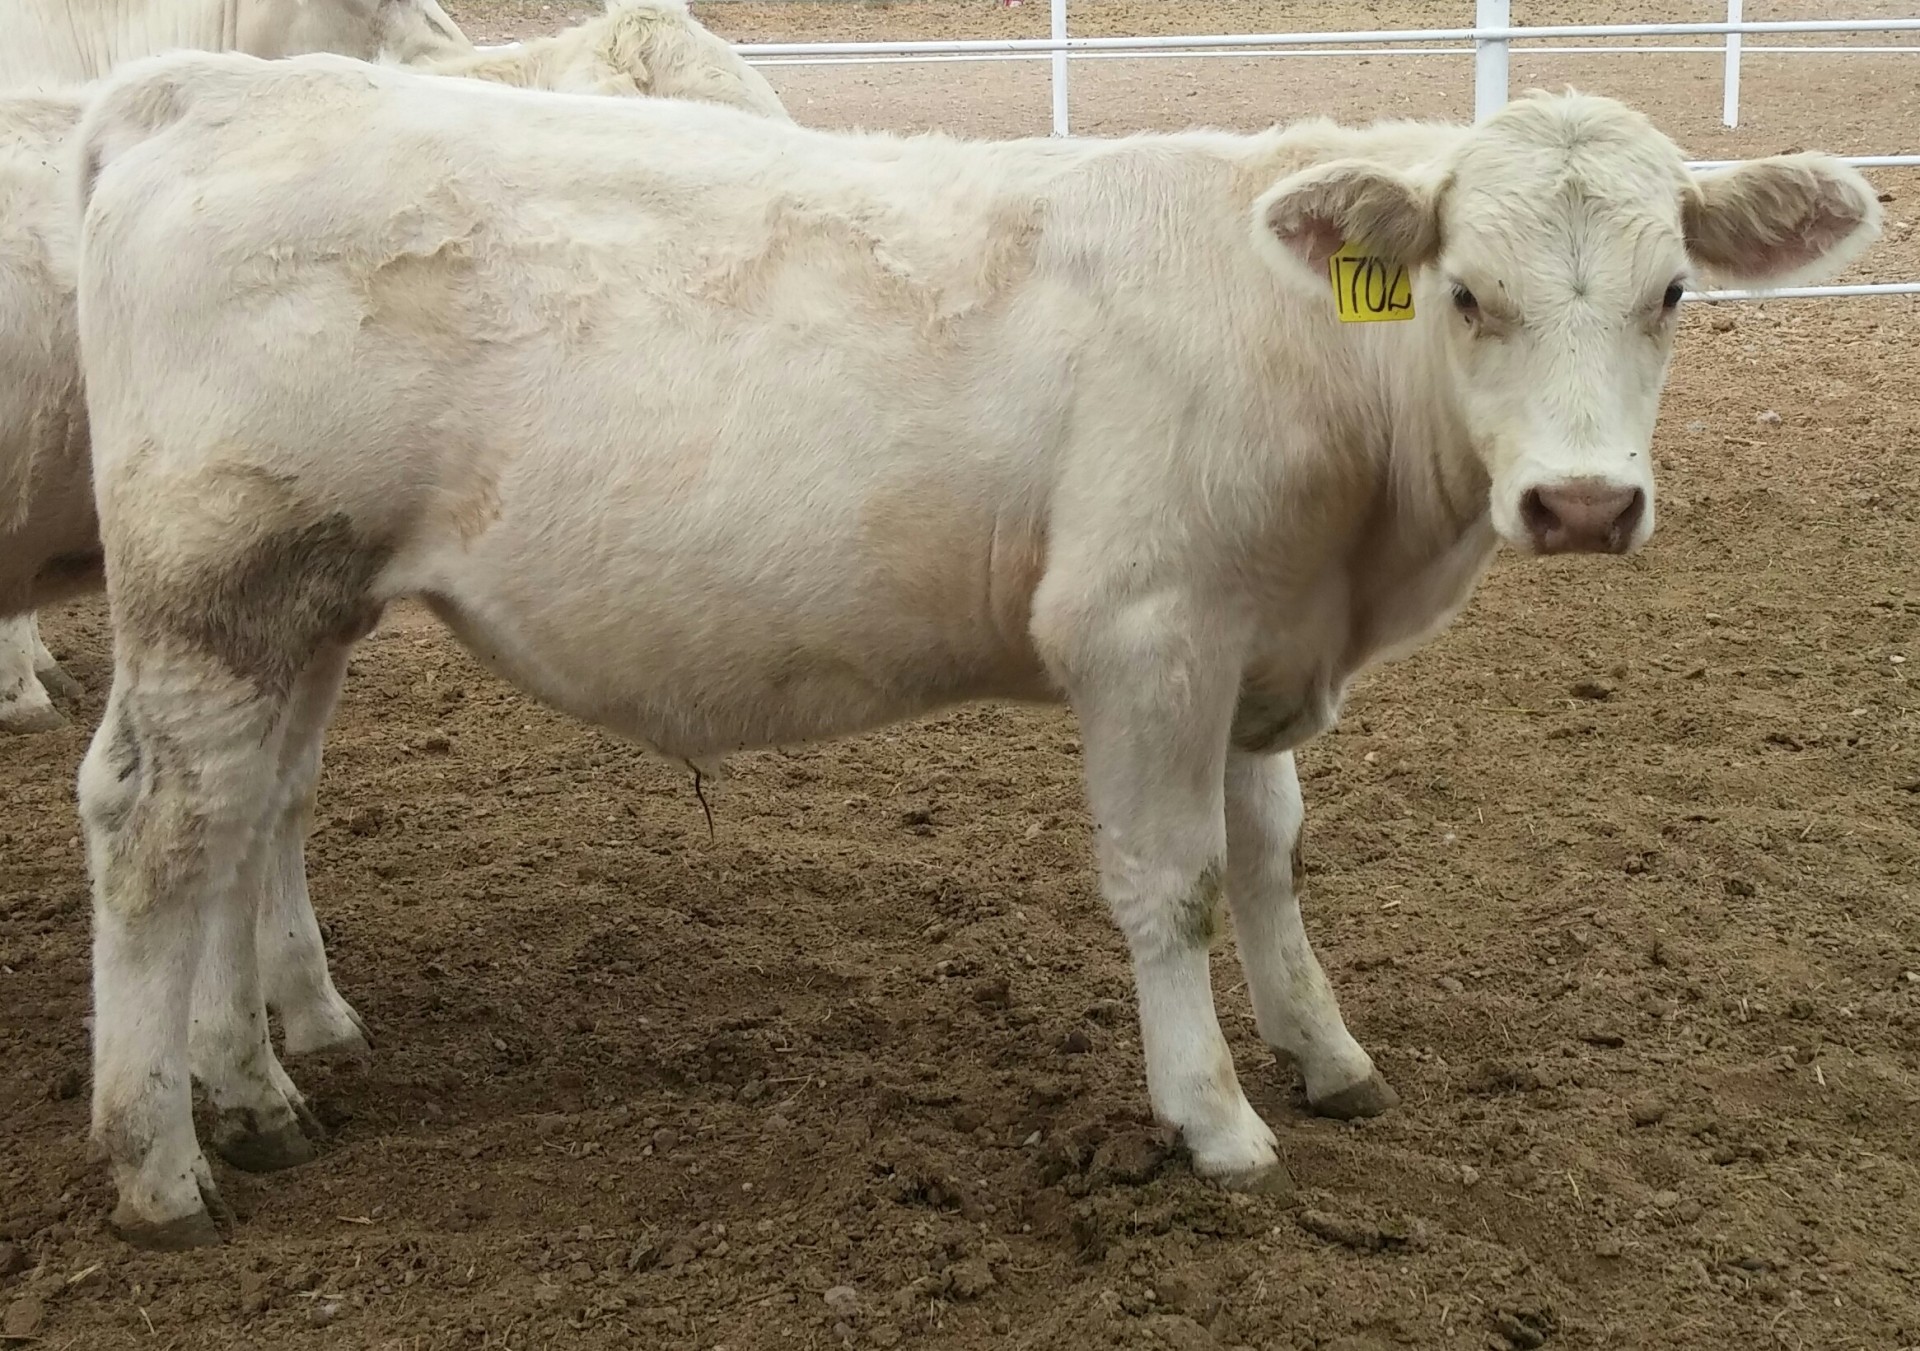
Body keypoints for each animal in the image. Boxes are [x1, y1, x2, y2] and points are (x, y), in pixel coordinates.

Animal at [69, 49, 1879, 1247]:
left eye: (1670, 293)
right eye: (1467, 294)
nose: (1581, 503)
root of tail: (216, 86)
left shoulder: (1256, 652)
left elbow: (1273, 857)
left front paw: (1326, 1051)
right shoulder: (1146, 631)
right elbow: (1173, 884)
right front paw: (1213, 1117)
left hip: (298, 609)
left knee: (222, 818)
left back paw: (254, 1089)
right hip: (221, 587)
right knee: (164, 836)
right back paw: (161, 1166)